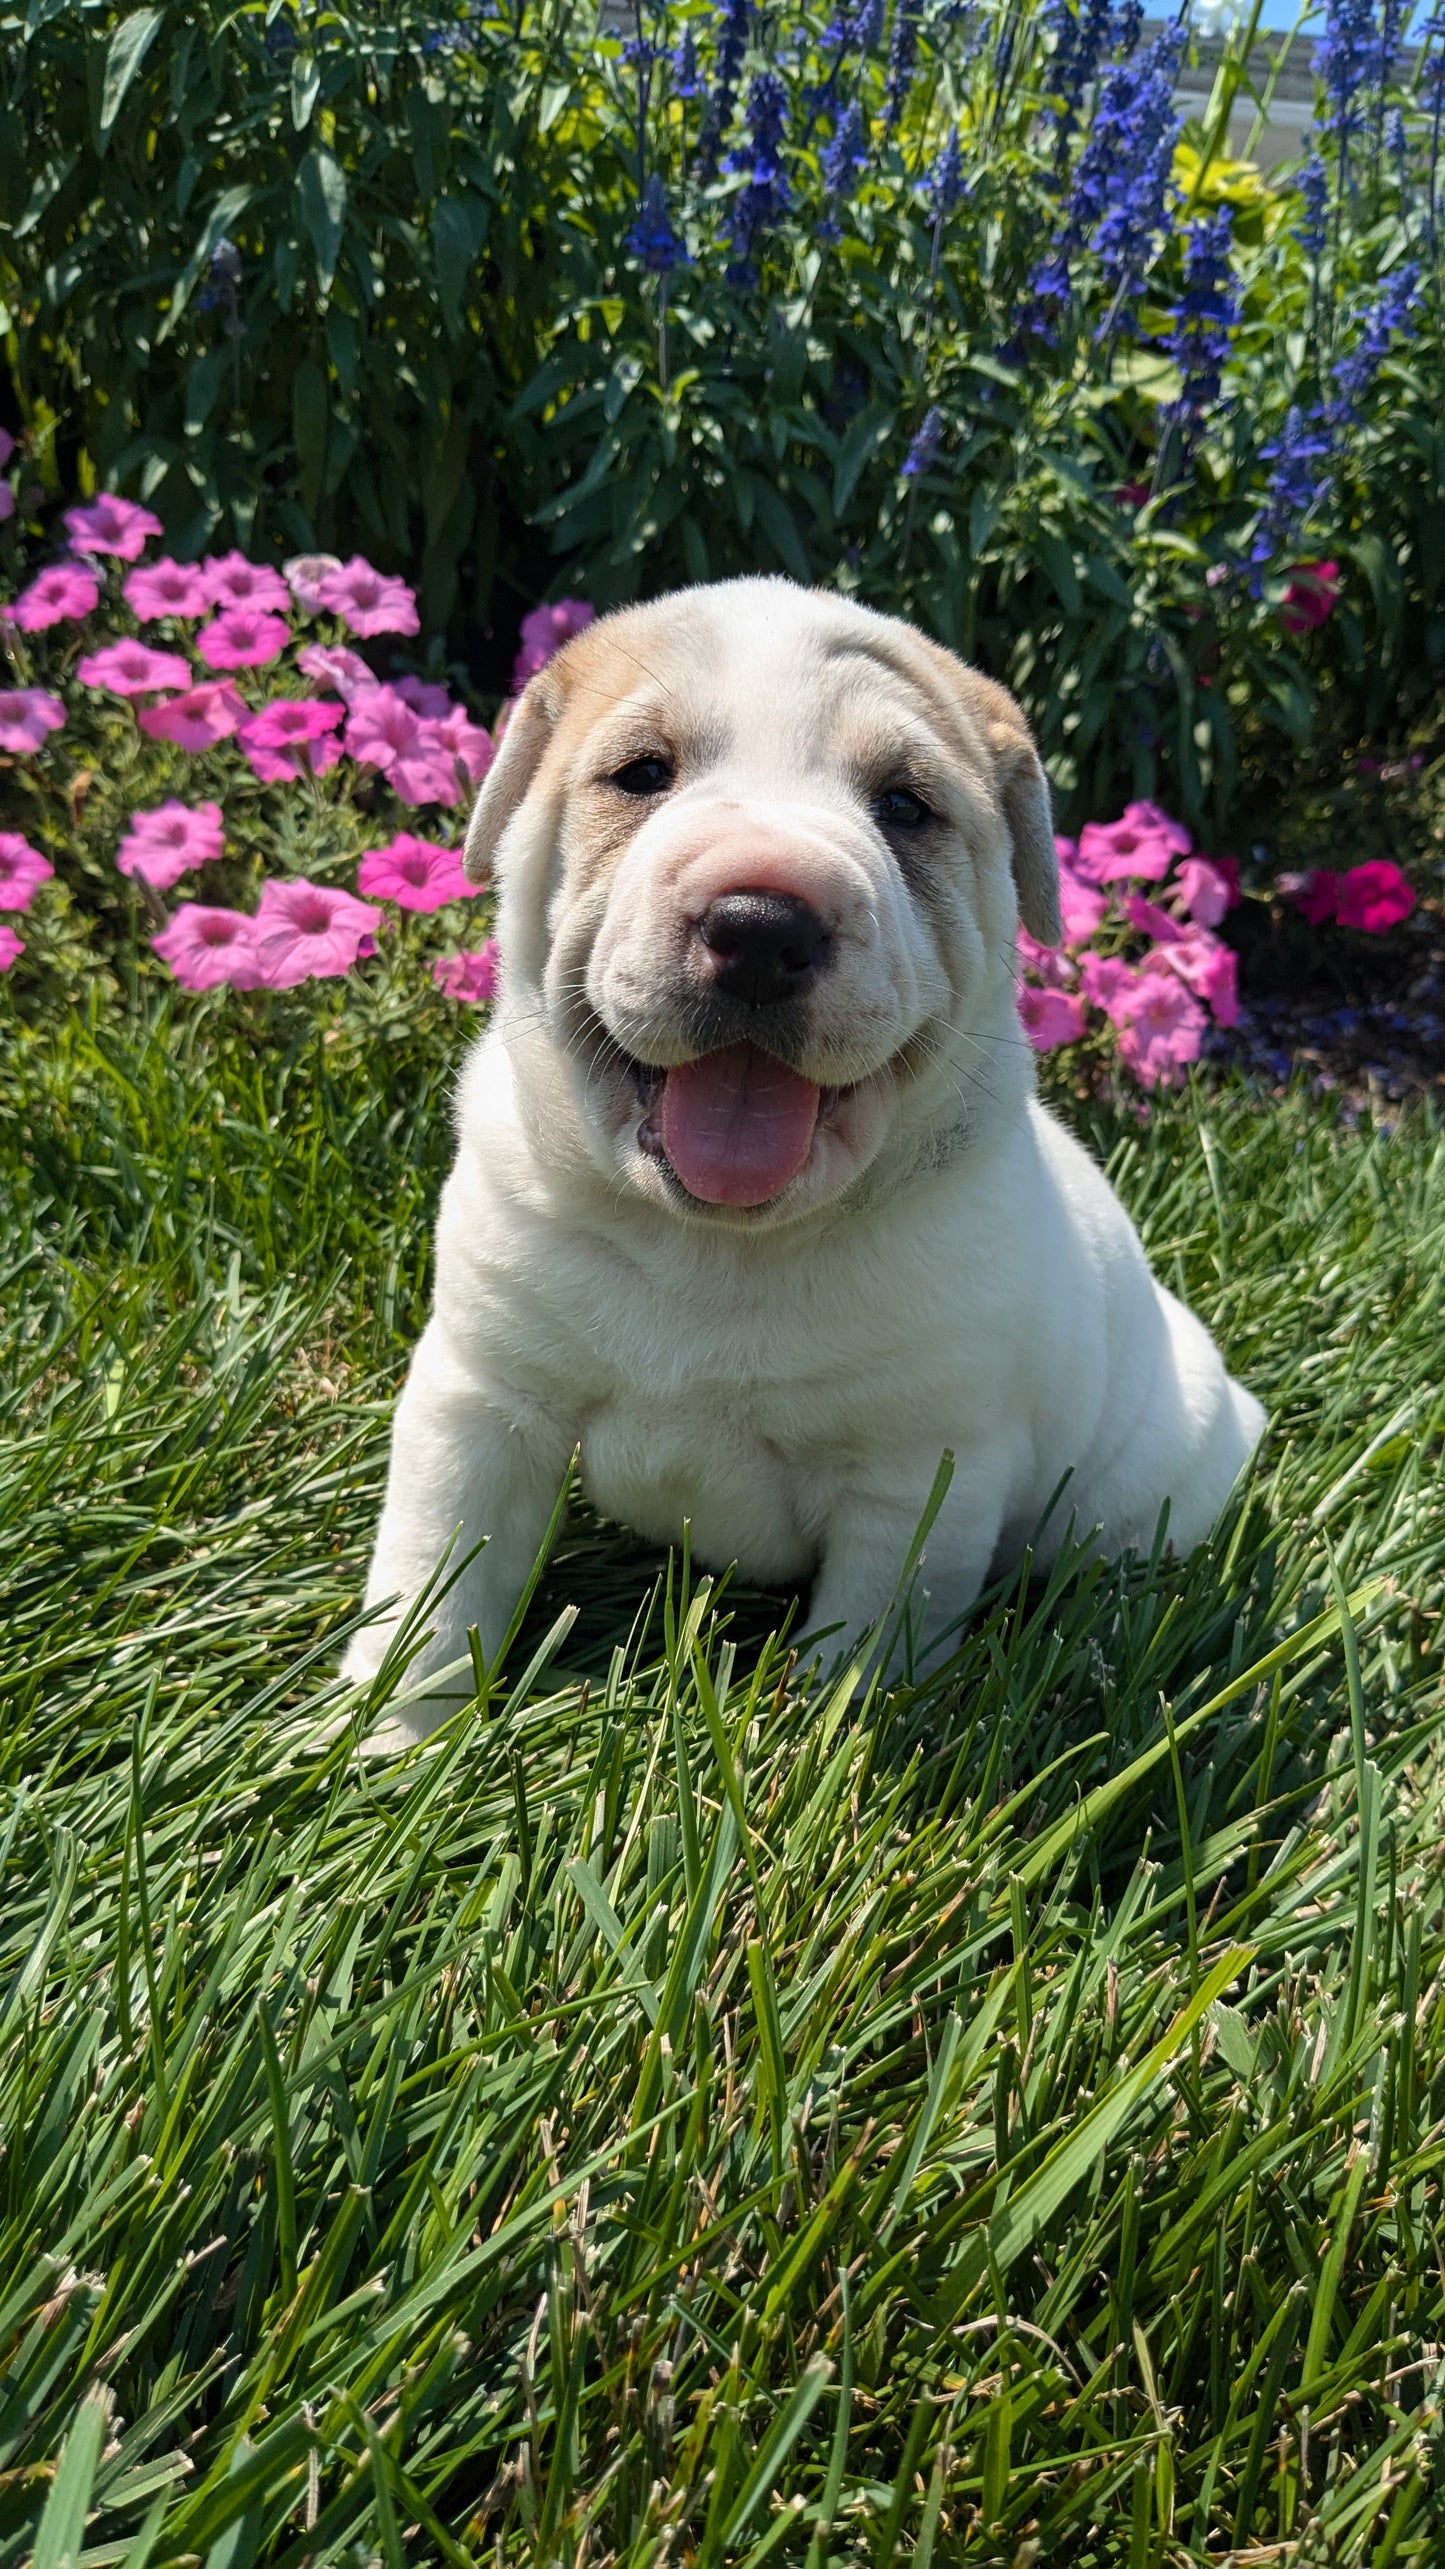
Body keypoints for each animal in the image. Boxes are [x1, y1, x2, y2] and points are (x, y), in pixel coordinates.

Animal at [347, 580, 1259, 1736]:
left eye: (905, 806)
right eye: (641, 773)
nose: (759, 925)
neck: (711, 1243)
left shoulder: (915, 1480)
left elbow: (868, 1643)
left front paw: (831, 1748)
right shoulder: (480, 1399)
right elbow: (434, 1574)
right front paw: (387, 1737)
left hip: (1144, 1483)